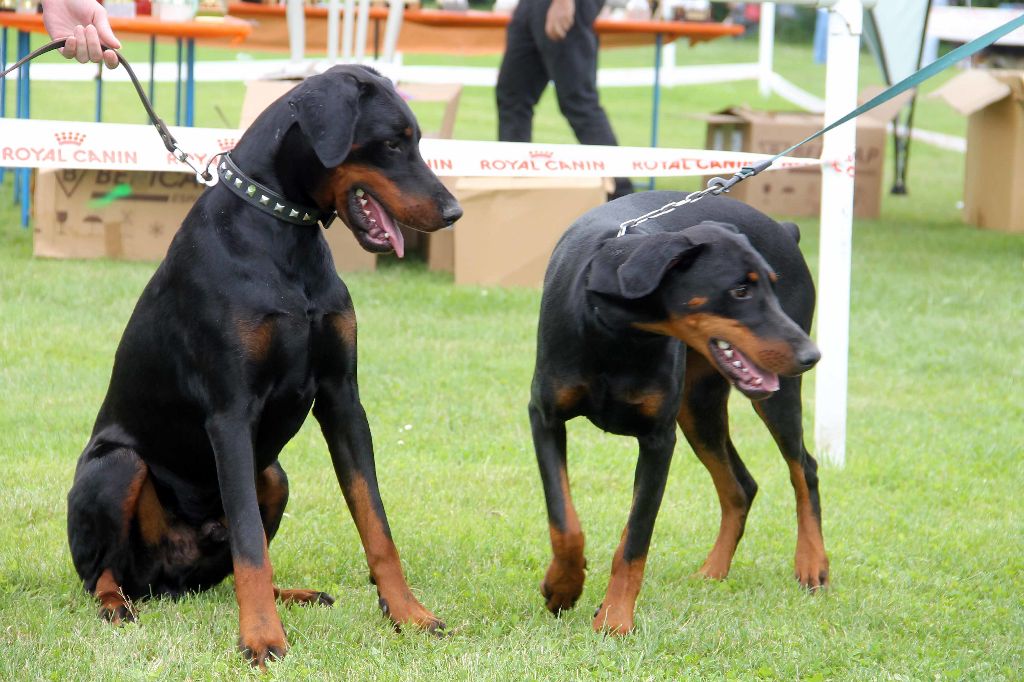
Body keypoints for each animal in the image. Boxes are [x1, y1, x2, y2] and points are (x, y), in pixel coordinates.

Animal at [66, 65, 462, 663]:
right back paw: (118, 605)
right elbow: (251, 543)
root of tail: (168, 582)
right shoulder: (230, 413)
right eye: (393, 143)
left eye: (414, 140)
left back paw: (292, 594)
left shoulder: (343, 398)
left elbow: (376, 523)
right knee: (102, 572)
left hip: (272, 473)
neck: (283, 230)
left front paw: (408, 614)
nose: (453, 212)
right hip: (118, 467)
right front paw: (260, 638)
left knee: (227, 565)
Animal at [532, 189, 827, 630]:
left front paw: (615, 619)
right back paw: (713, 571)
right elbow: (564, 522)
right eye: (740, 291)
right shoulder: (546, 418)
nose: (812, 355)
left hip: (770, 398)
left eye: (772, 287)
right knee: (741, 485)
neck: (618, 334)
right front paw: (563, 586)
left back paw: (812, 564)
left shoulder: (658, 439)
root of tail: (785, 228)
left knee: (803, 468)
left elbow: (636, 537)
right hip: (698, 408)